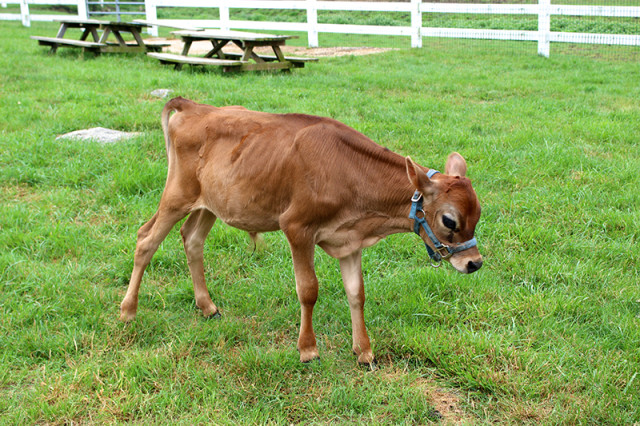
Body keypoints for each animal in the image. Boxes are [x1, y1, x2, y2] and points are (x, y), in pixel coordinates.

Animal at [119, 98, 480, 364]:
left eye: (478, 214)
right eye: (450, 221)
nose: (474, 263)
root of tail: (194, 106)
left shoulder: (349, 240)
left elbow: (357, 293)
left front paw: (363, 351)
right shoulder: (296, 227)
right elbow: (308, 290)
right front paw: (308, 349)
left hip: (210, 204)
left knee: (192, 239)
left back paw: (207, 306)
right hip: (177, 195)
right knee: (145, 240)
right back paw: (127, 311)